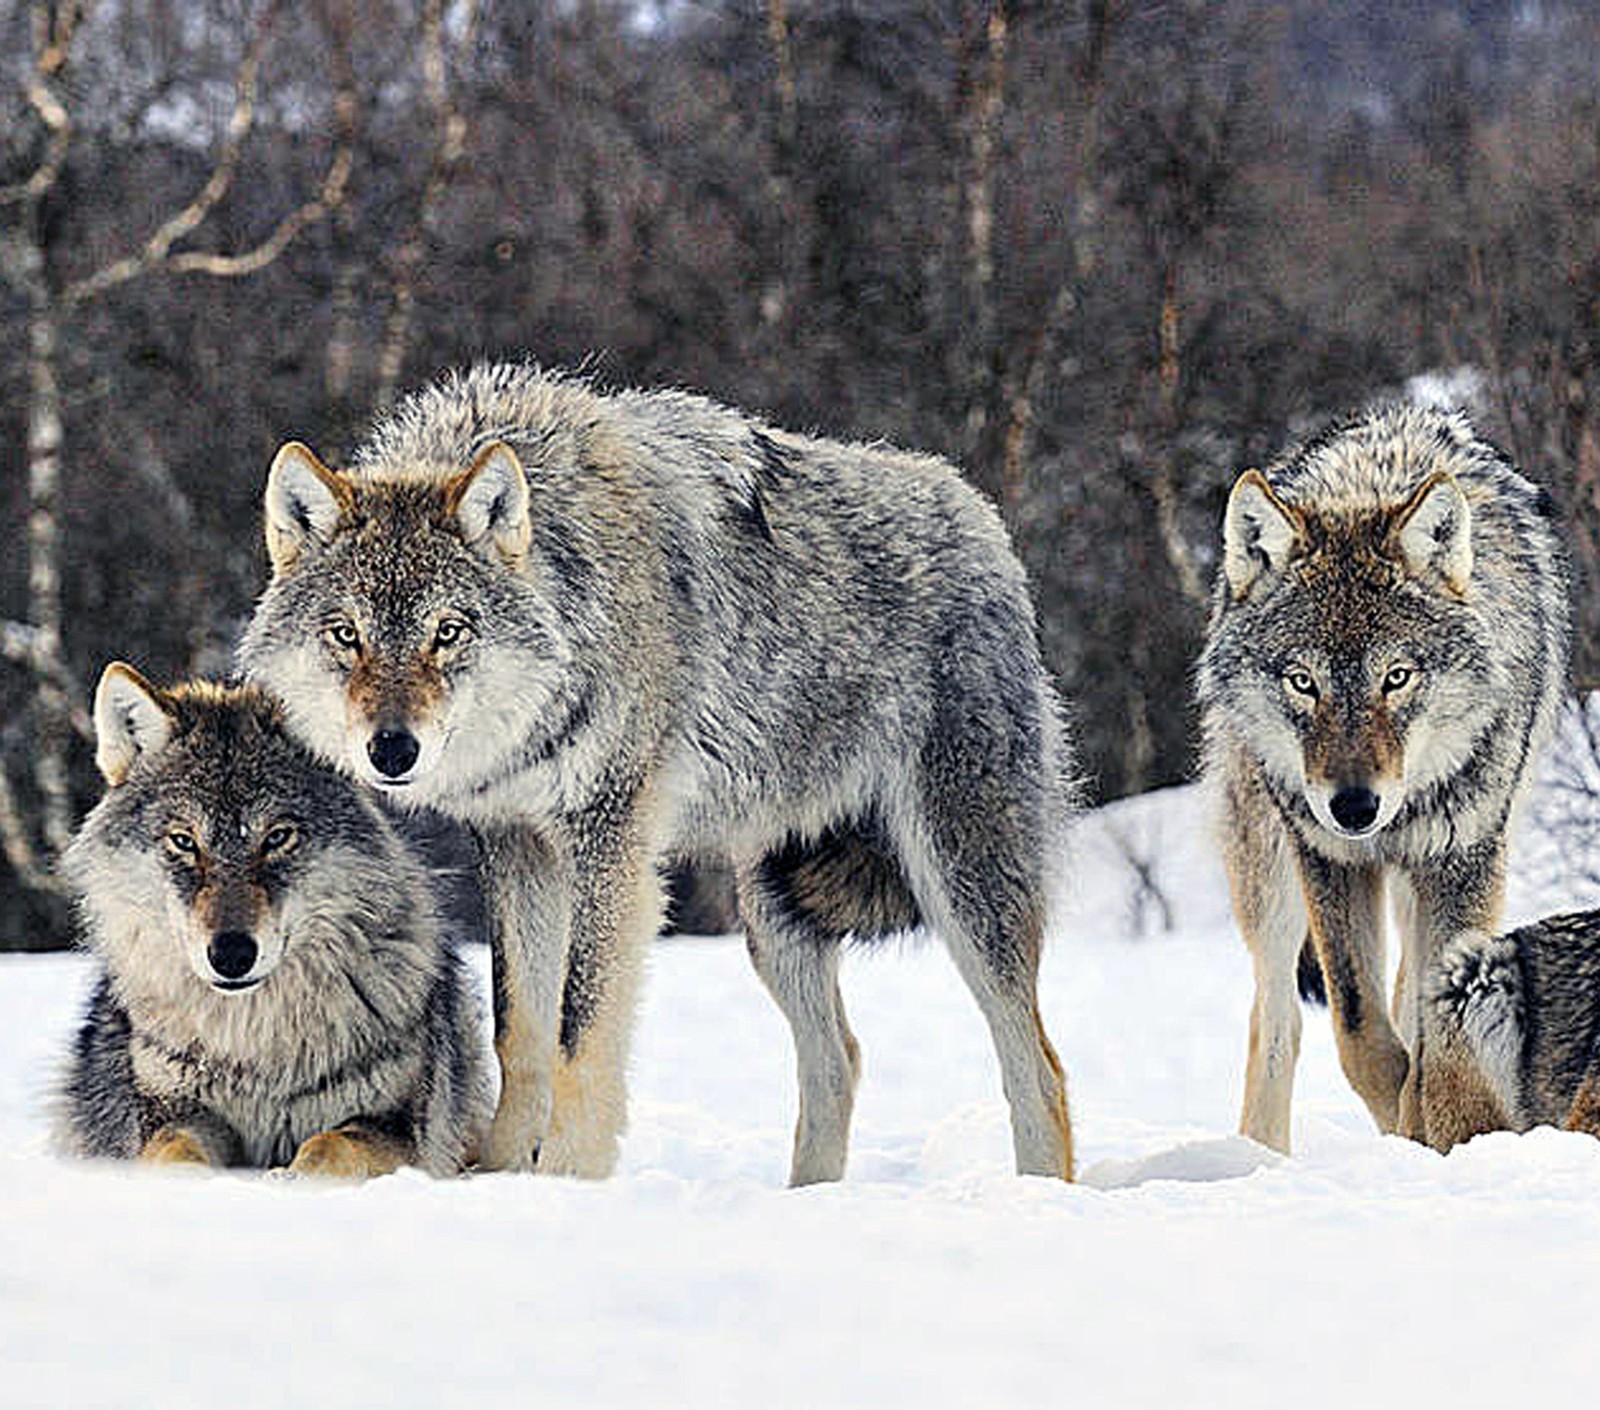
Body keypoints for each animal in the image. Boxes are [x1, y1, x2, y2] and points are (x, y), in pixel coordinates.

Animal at [53, 665, 489, 1171]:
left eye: (277, 837)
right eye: (184, 842)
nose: (231, 953)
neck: (255, 1048)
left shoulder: (393, 1125)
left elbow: (329, 1145)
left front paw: (293, 1178)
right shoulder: (173, 1112)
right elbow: (174, 1151)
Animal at [240, 360, 1075, 1177]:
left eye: (447, 632)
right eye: (346, 634)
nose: (392, 749)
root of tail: (982, 518)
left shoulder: (611, 844)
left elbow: (579, 1036)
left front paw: (566, 1179)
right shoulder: (518, 845)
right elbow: (520, 1033)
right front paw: (502, 1175)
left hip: (960, 885)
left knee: (1038, 1068)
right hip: (773, 912)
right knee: (839, 1060)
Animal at [1203, 401, 1561, 1152]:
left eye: (1395, 678)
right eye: (1302, 681)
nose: (1354, 808)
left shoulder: (1465, 861)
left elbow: (1430, 1034)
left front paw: (1430, 1133)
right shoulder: (1330, 860)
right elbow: (1361, 1034)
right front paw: (1402, 1122)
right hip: (1269, 870)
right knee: (1276, 1017)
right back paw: (1260, 1156)